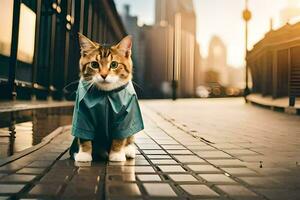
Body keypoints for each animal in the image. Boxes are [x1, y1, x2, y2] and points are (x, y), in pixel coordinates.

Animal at [70, 33, 145, 162]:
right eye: (94, 64)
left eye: (114, 64)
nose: (104, 75)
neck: (106, 94)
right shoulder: (82, 114)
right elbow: (84, 134)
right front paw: (84, 154)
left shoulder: (125, 116)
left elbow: (120, 136)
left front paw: (116, 154)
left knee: (130, 137)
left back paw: (128, 150)